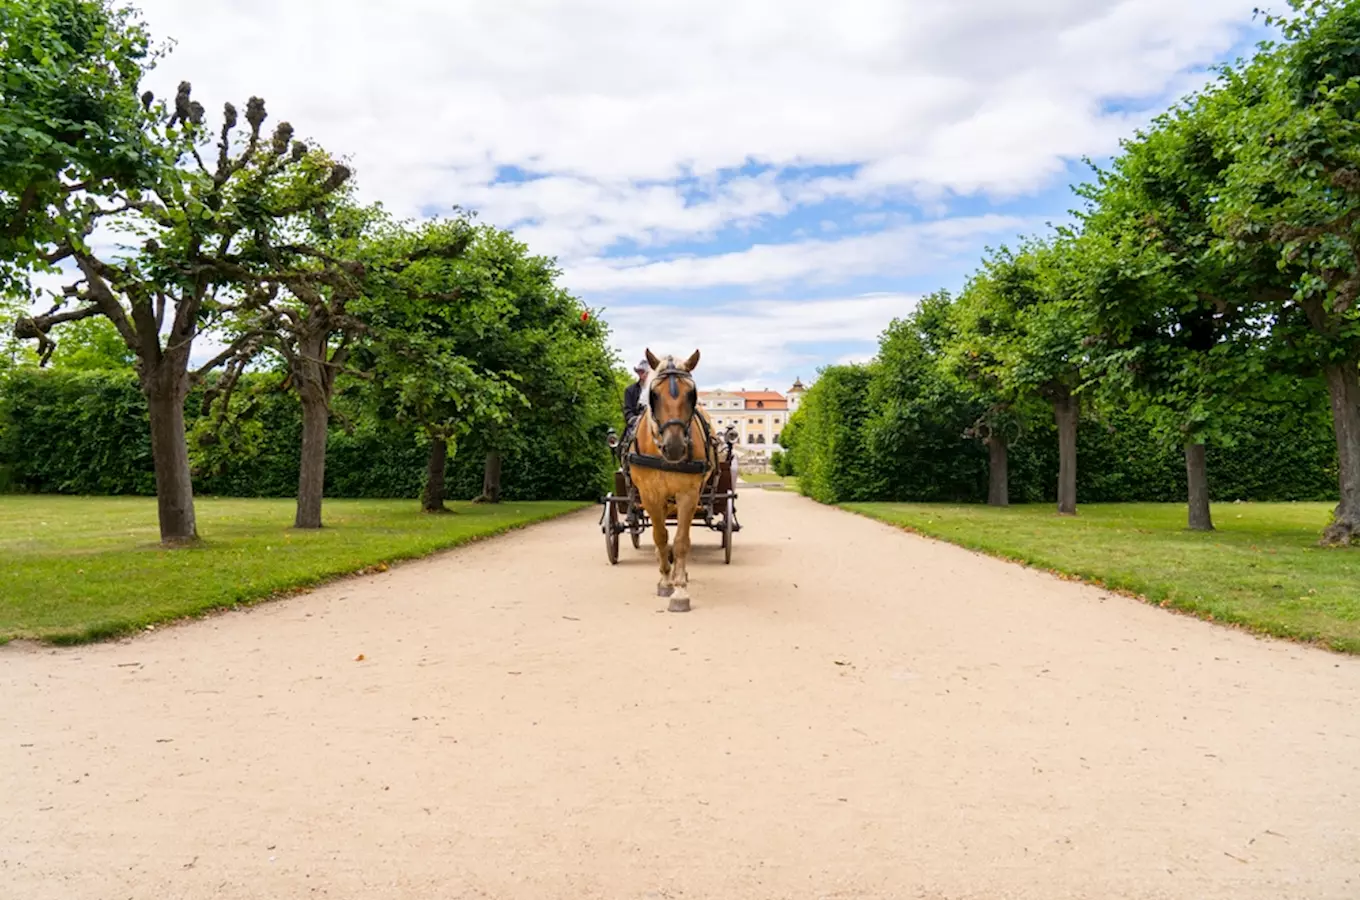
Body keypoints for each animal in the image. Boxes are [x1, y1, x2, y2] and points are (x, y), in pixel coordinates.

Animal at [625, 345, 718, 614]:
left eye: (691, 394)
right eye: (654, 394)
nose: (674, 446)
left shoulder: (688, 494)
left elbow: (681, 541)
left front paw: (680, 589)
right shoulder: (650, 495)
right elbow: (660, 537)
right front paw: (666, 581)